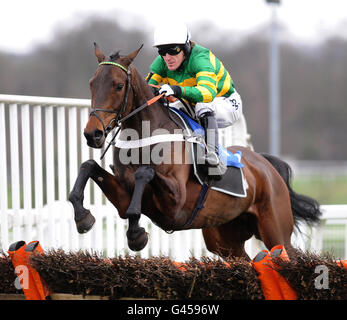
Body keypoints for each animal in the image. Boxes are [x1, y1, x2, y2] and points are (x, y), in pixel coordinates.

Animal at [68, 43, 324, 258]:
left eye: (119, 86)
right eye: (92, 83)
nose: (93, 134)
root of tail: (266, 166)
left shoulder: (176, 202)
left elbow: (145, 173)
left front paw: (136, 234)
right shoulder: (124, 195)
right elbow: (89, 166)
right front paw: (83, 217)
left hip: (275, 231)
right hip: (225, 240)